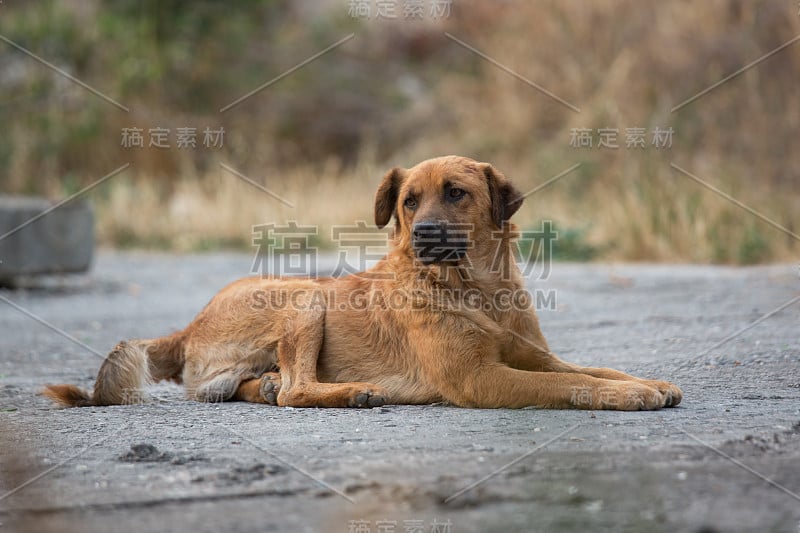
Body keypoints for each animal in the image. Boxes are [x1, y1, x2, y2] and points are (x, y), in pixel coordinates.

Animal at [43, 156, 680, 410]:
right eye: (408, 201)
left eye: (456, 193)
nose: (423, 233)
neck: (475, 288)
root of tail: (188, 326)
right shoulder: (481, 378)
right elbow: (572, 385)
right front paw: (629, 396)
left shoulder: (533, 357)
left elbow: (594, 369)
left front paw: (645, 382)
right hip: (303, 296)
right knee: (297, 390)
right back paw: (348, 393)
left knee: (267, 386)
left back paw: (267, 386)